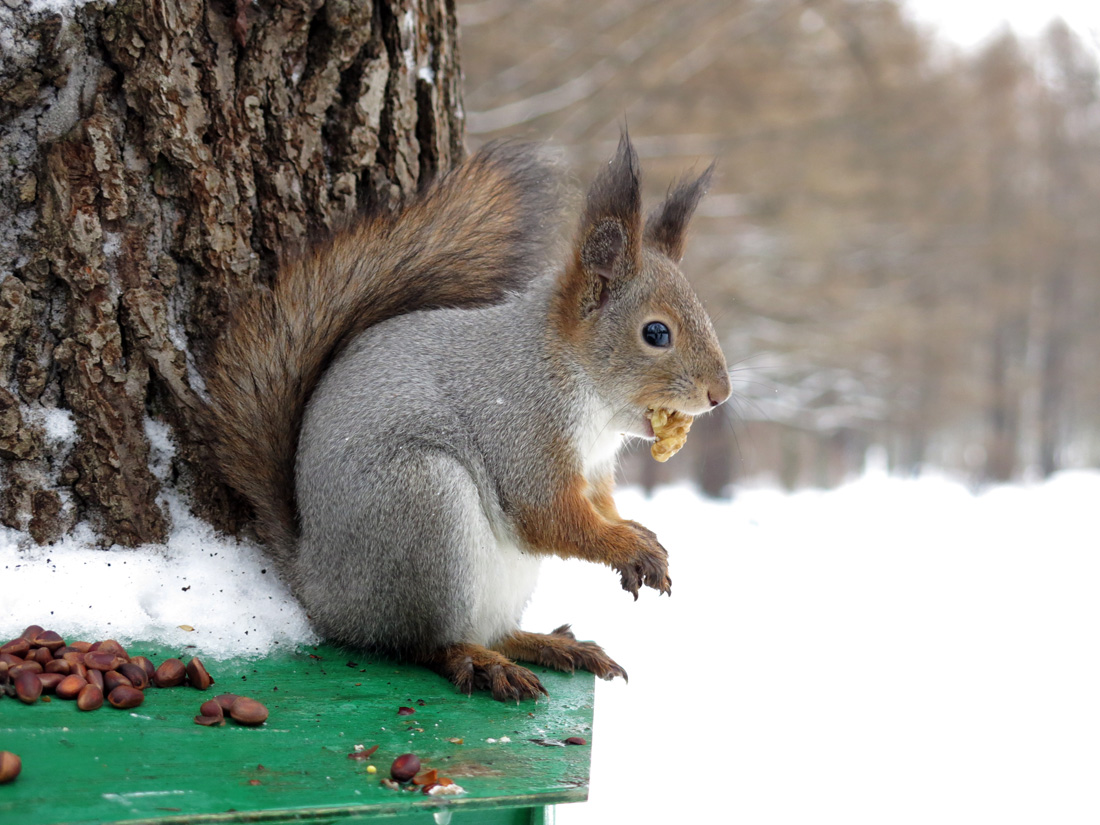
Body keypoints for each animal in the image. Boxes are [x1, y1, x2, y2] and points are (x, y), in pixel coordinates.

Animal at [206, 137, 730, 704]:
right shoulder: (522, 430)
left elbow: (600, 506)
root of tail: (318, 586)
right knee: (422, 643)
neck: (586, 394)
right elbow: (551, 515)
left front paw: (638, 532)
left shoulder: (593, 468)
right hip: (426, 511)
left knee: (493, 631)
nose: (720, 394)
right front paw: (627, 545)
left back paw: (546, 645)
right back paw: (478, 662)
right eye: (656, 333)